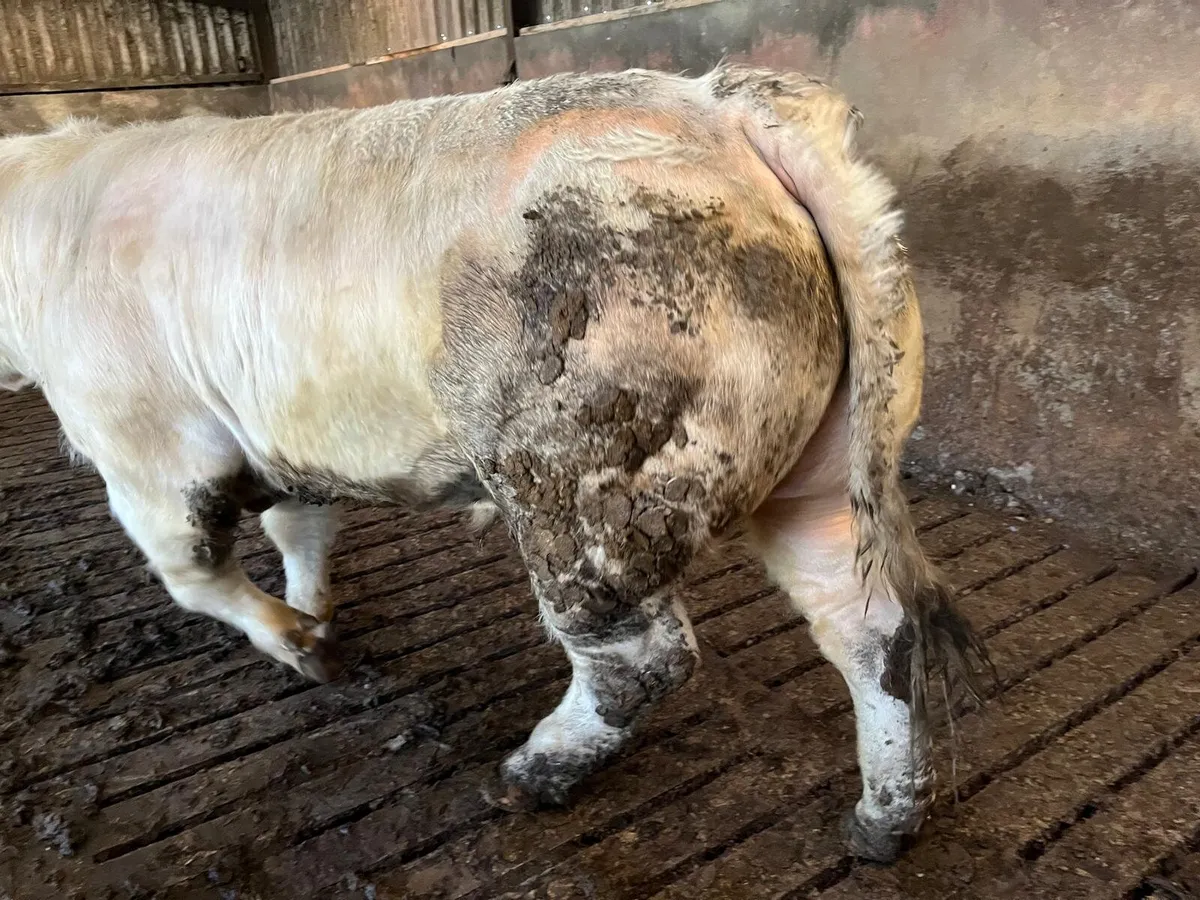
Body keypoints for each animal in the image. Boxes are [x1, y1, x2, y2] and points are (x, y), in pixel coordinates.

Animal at [0, 64, 989, 862]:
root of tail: (718, 108)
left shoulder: (143, 437)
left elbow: (190, 569)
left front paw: (303, 648)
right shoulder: (275, 436)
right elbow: (301, 526)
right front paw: (317, 616)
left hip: (581, 479)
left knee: (642, 657)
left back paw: (525, 775)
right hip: (827, 465)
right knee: (871, 628)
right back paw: (881, 826)